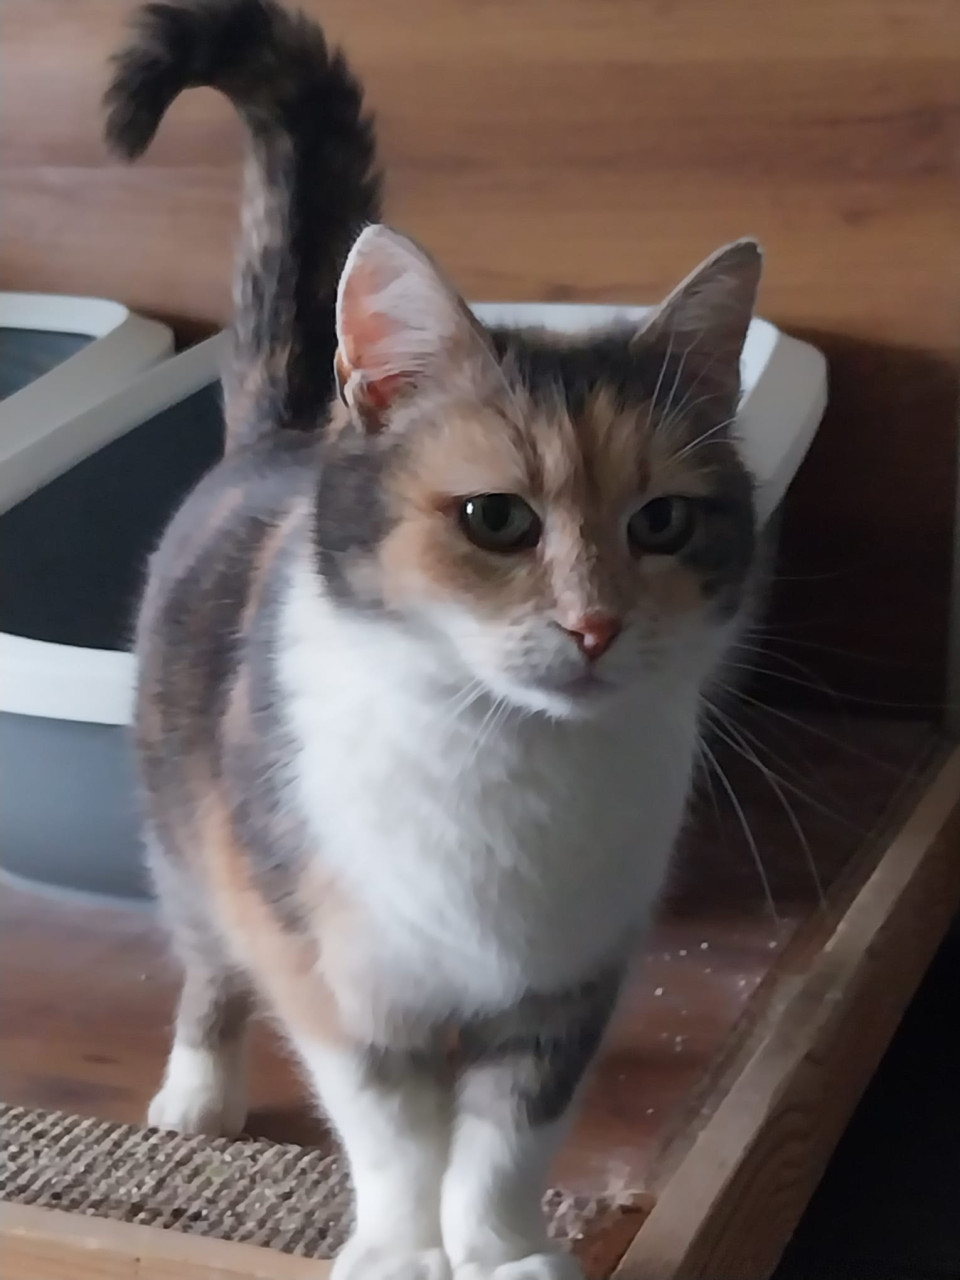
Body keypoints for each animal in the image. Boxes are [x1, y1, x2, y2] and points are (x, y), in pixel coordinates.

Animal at [105, 4, 761, 1280]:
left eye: (661, 522)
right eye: (496, 519)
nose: (596, 621)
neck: (500, 754)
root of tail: (286, 428)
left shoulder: (571, 980)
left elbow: (509, 1132)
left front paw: (501, 1248)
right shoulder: (340, 972)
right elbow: (394, 1124)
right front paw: (407, 1247)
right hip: (189, 835)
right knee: (206, 963)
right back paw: (197, 1091)